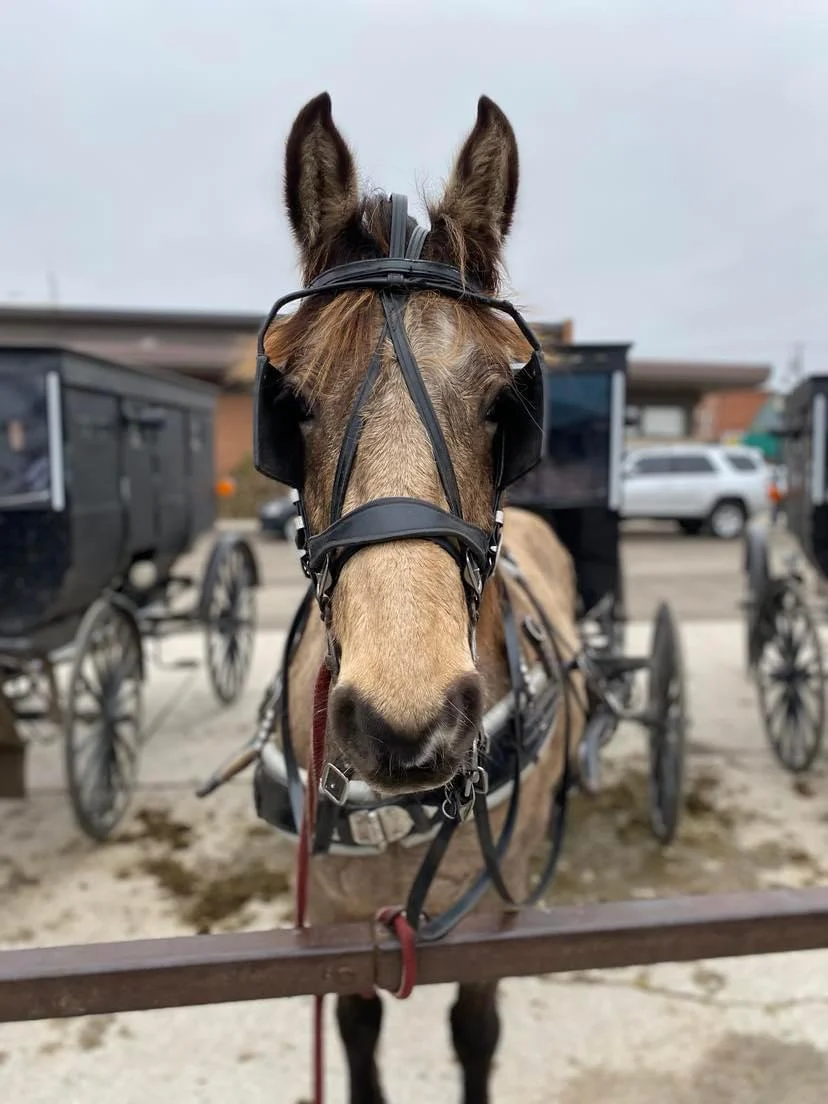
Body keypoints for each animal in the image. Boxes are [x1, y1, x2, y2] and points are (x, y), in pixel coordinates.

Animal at [259, 91, 586, 1104]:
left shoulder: (486, 921)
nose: (408, 724)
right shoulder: (332, 914)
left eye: (506, 405)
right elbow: (357, 1027)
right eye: (291, 405)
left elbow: (476, 1031)